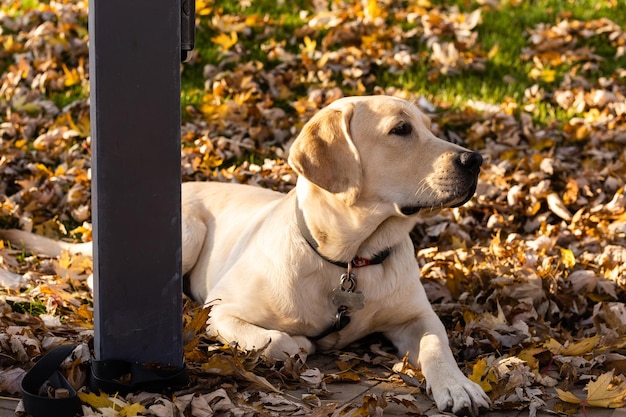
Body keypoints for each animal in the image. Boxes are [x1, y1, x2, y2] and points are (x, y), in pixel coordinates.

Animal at [3, 96, 488, 414]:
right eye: (401, 130)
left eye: (428, 127)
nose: (475, 160)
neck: (350, 259)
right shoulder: (224, 310)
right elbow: (275, 339)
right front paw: (295, 344)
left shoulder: (417, 315)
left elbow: (436, 345)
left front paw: (458, 386)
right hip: (185, 230)